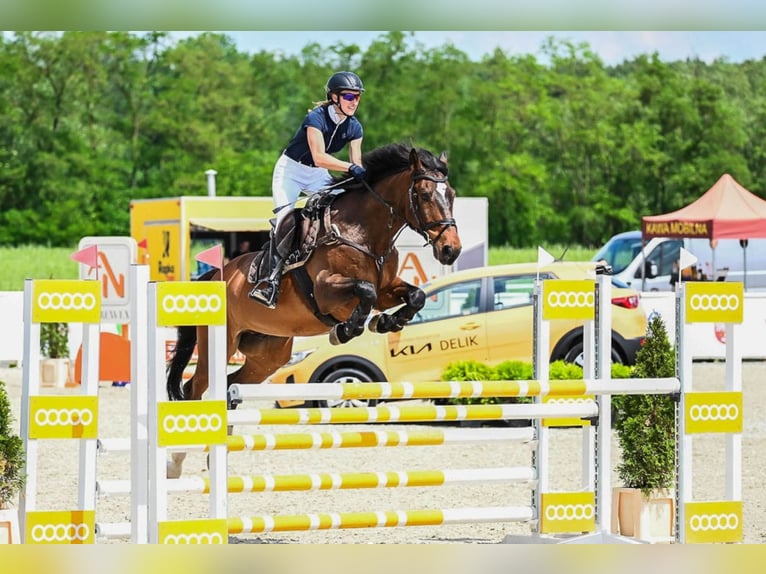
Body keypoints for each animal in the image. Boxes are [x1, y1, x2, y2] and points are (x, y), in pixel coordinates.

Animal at [164, 143, 462, 477]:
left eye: (451, 194)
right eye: (423, 194)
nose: (451, 250)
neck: (363, 233)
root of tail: (216, 275)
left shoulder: (388, 289)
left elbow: (415, 296)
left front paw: (386, 323)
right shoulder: (326, 291)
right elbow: (365, 291)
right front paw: (345, 330)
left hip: (269, 354)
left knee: (230, 385)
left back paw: (218, 453)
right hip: (220, 344)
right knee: (193, 388)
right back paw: (176, 461)